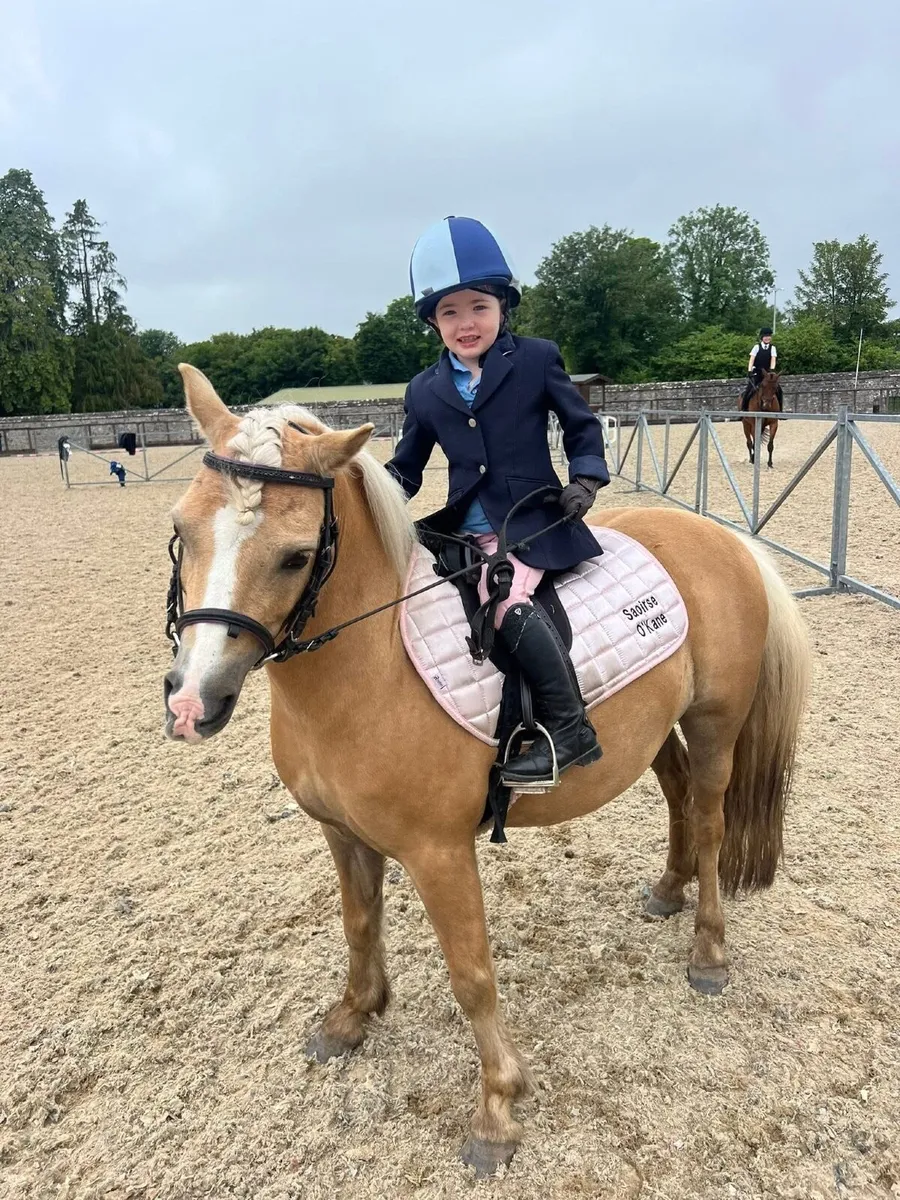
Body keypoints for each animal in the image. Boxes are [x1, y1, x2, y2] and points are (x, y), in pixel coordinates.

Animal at [163, 365, 811, 1177]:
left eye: (293, 555)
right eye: (182, 530)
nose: (192, 701)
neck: (373, 661)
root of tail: (722, 538)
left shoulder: (440, 853)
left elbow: (471, 975)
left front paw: (498, 1110)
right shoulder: (342, 833)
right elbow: (358, 924)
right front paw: (352, 1017)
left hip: (716, 723)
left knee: (715, 820)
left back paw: (709, 951)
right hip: (657, 727)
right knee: (681, 798)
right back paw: (668, 890)